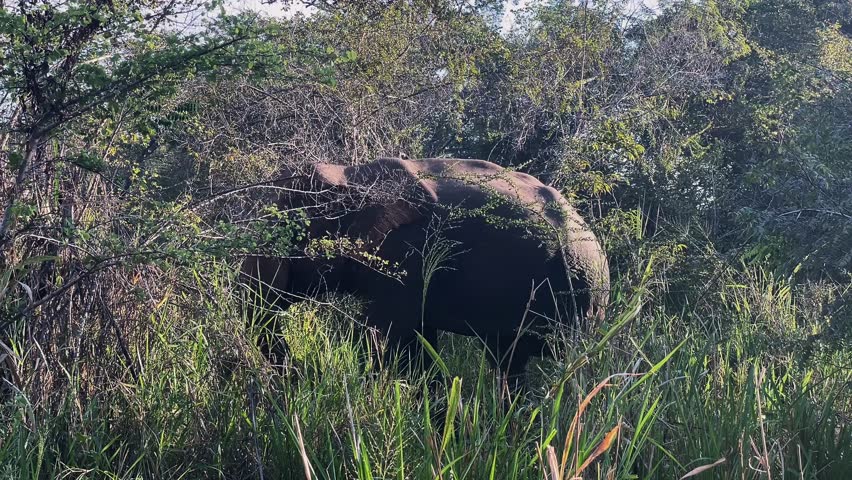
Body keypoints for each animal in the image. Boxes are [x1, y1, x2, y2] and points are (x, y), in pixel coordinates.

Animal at [242, 157, 609, 379]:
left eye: (293, 233)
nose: (299, 373)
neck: (352, 174)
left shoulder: (410, 254)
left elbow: (391, 339)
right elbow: (418, 339)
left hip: (578, 298)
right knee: (509, 360)